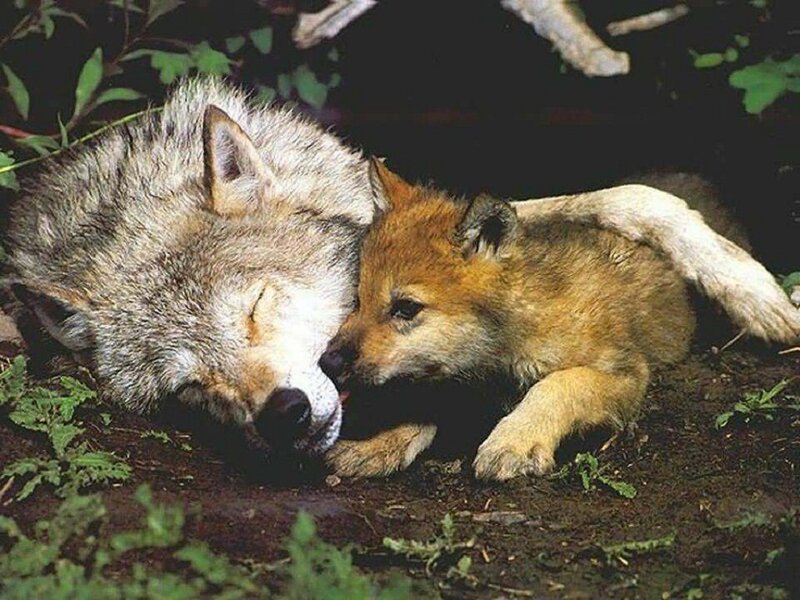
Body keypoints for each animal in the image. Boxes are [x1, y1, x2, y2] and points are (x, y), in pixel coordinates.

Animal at [320, 161, 800, 479]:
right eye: (357, 300)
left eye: (405, 308)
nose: (328, 362)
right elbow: (424, 402)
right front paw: (377, 446)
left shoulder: (625, 373)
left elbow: (556, 386)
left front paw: (513, 440)